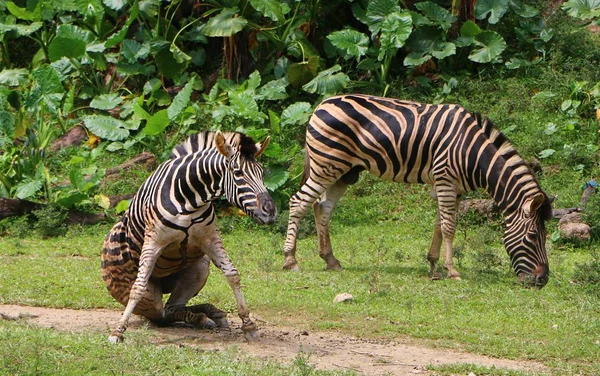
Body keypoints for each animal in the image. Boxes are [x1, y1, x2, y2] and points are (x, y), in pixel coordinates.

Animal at [102, 131, 278, 342]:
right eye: (238, 173)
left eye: (262, 173)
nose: (271, 212)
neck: (190, 199)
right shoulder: (154, 241)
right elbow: (138, 286)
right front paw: (118, 331)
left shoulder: (209, 238)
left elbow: (232, 274)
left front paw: (248, 324)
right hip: (149, 297)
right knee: (160, 312)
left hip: (200, 267)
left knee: (171, 308)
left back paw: (208, 314)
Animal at [284, 94, 552, 288]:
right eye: (532, 236)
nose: (542, 280)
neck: (473, 154)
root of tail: (321, 104)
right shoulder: (445, 180)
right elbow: (449, 227)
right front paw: (452, 271)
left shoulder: (452, 188)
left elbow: (440, 224)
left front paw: (433, 265)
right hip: (327, 165)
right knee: (298, 202)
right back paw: (290, 260)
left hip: (343, 172)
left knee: (322, 207)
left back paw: (330, 260)